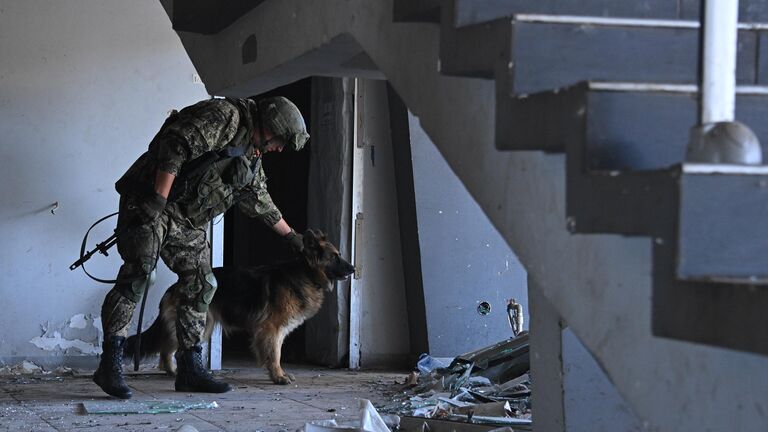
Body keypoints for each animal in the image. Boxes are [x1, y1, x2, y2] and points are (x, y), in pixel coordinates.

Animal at [125, 230, 354, 384]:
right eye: (335, 256)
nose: (353, 269)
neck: (305, 273)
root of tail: (174, 287)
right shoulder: (272, 329)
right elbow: (275, 354)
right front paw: (278, 376)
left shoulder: (276, 331)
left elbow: (275, 353)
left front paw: (276, 373)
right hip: (198, 323)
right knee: (169, 349)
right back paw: (175, 372)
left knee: (168, 349)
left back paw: (174, 371)